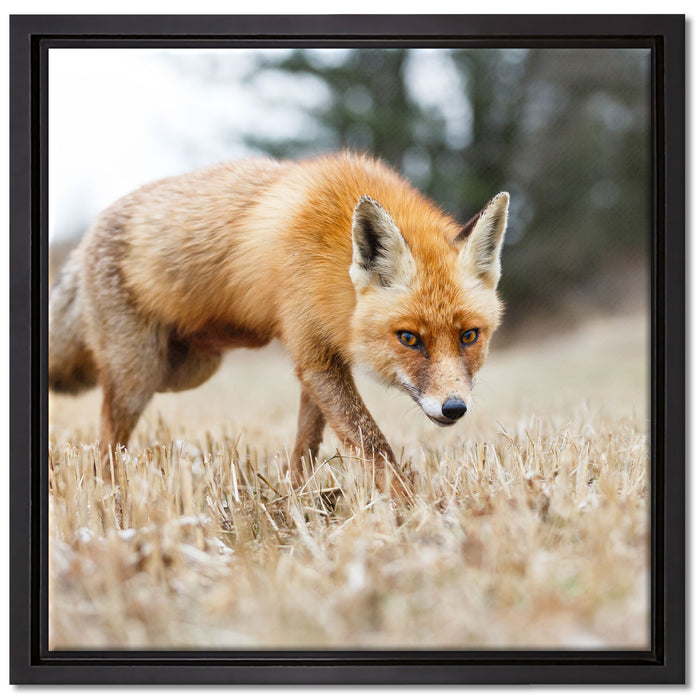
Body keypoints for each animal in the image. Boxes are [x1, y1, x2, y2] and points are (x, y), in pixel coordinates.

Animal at [49, 152, 509, 494]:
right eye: (409, 338)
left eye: (469, 336)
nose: (454, 408)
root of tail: (85, 237)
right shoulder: (313, 354)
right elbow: (372, 443)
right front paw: (410, 509)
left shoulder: (322, 356)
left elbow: (307, 445)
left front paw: (296, 497)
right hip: (139, 377)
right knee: (106, 440)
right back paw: (110, 495)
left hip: (187, 369)